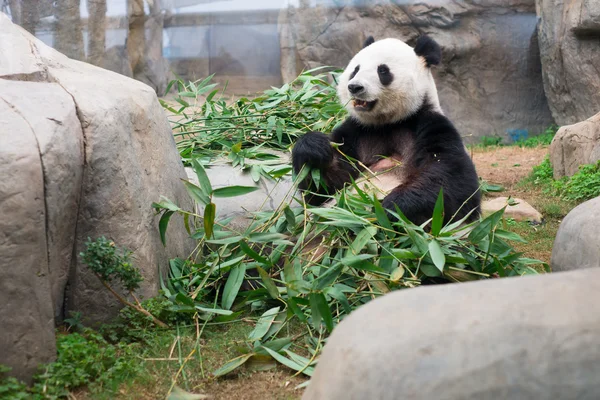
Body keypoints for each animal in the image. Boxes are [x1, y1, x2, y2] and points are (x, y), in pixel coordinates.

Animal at [292, 35, 480, 225]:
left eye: (382, 70)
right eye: (355, 70)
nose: (355, 87)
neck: (388, 123)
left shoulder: (429, 124)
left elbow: (454, 183)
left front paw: (390, 207)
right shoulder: (357, 132)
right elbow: (321, 191)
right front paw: (315, 147)